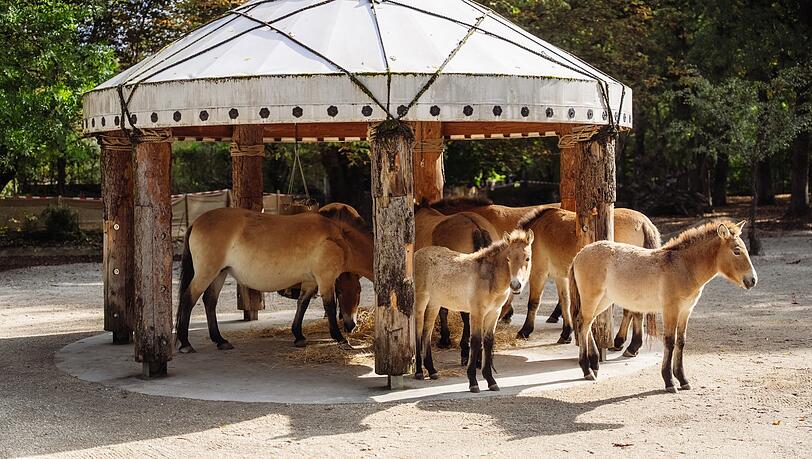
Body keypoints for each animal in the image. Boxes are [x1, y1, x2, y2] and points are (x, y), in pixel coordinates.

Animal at [175, 203, 373, 353]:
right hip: (206, 273)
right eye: (341, 291)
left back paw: (220, 341)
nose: (350, 325)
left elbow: (302, 304)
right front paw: (340, 339)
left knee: (210, 301)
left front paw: (299, 336)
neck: (338, 237)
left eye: (358, 291)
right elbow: (330, 307)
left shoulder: (310, 281)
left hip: (220, 273)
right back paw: (185, 343)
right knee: (188, 299)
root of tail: (196, 223)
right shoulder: (325, 279)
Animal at [414, 229, 534, 393]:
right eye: (508, 259)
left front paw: (491, 381)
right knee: (418, 329)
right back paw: (419, 372)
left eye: (527, 258)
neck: (490, 278)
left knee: (427, 330)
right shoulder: (477, 312)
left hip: (435, 302)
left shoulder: (494, 313)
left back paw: (432, 371)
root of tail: (417, 253)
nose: (515, 285)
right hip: (421, 298)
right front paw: (473, 382)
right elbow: (476, 341)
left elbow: (488, 341)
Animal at [516, 207, 661, 357]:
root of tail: (644, 223)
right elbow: (565, 302)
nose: (515, 286)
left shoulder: (538, 273)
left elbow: (533, 303)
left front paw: (525, 330)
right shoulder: (561, 277)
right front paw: (566, 333)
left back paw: (631, 346)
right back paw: (620, 342)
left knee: (634, 311)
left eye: (523, 259)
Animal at [569, 220, 757, 392]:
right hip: (592, 298)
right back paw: (587, 370)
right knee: (583, 324)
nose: (753, 280)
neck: (684, 267)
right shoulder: (670, 310)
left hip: (604, 300)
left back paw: (594, 366)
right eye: (737, 251)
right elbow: (670, 341)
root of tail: (579, 254)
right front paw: (669, 381)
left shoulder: (686, 310)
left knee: (586, 323)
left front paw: (683, 380)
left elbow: (681, 341)